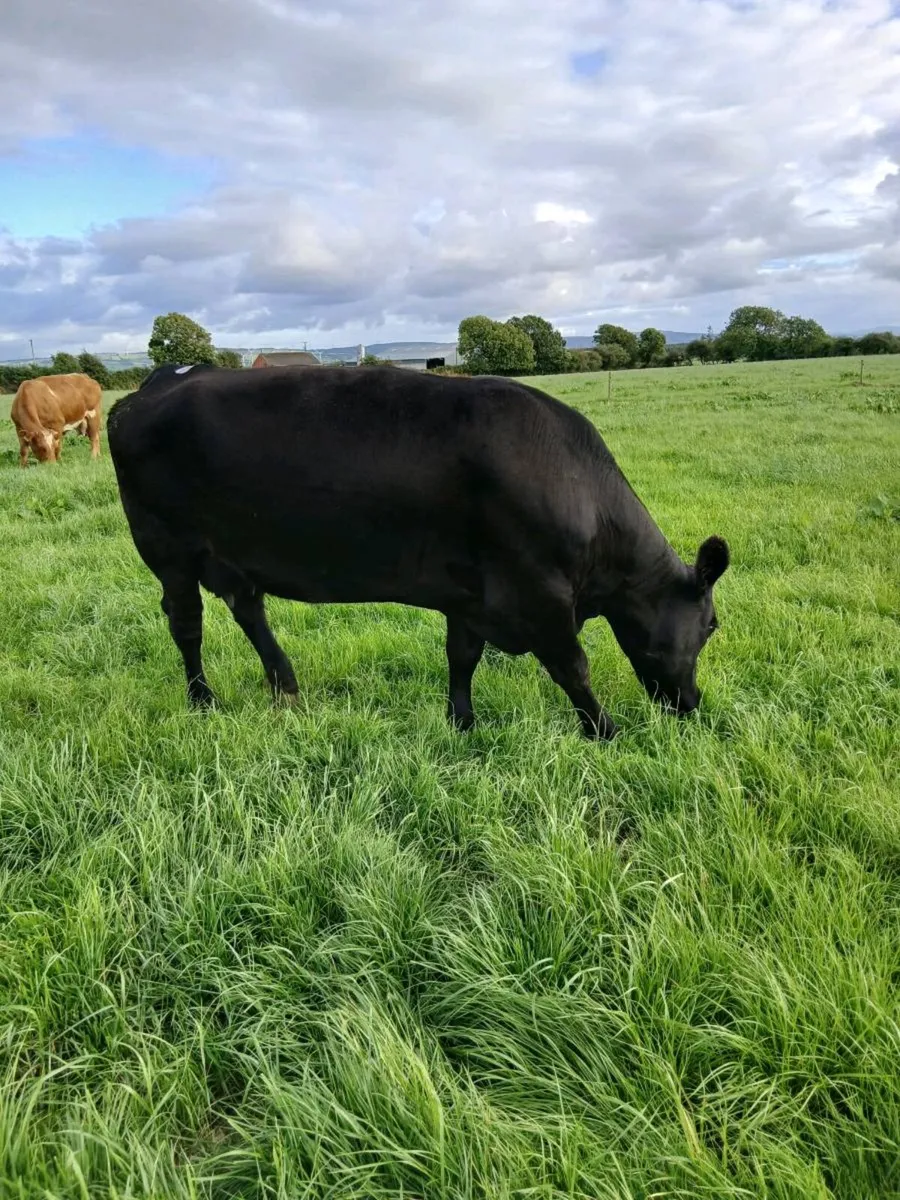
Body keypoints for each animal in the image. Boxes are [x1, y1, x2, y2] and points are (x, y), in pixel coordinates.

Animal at [106, 366, 730, 738]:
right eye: (712, 625)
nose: (692, 702)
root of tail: (154, 385)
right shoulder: (541, 594)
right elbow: (573, 668)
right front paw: (604, 732)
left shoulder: (472, 593)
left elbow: (463, 656)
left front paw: (463, 723)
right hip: (167, 550)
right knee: (187, 625)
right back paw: (202, 700)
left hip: (230, 556)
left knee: (248, 610)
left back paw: (286, 689)